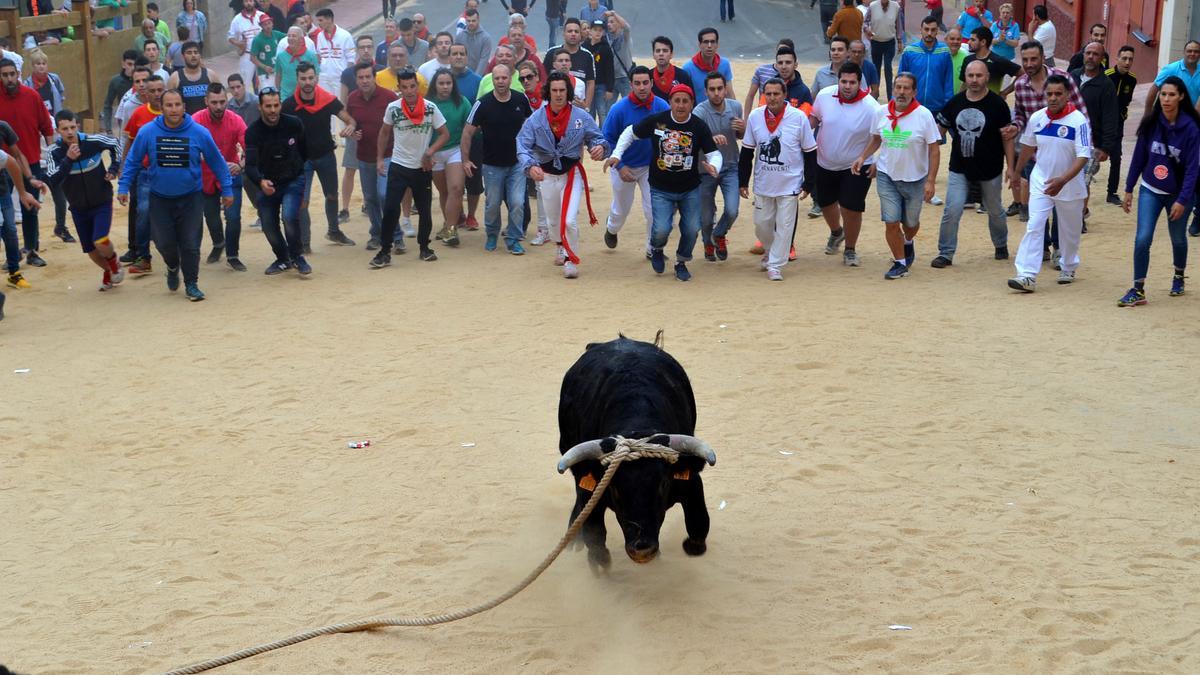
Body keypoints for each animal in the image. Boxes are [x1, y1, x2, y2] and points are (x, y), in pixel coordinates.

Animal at [559, 333, 715, 564]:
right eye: (614, 487)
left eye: (663, 484)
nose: (642, 549)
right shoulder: (593, 490)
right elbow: (596, 539)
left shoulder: (691, 481)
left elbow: (698, 525)